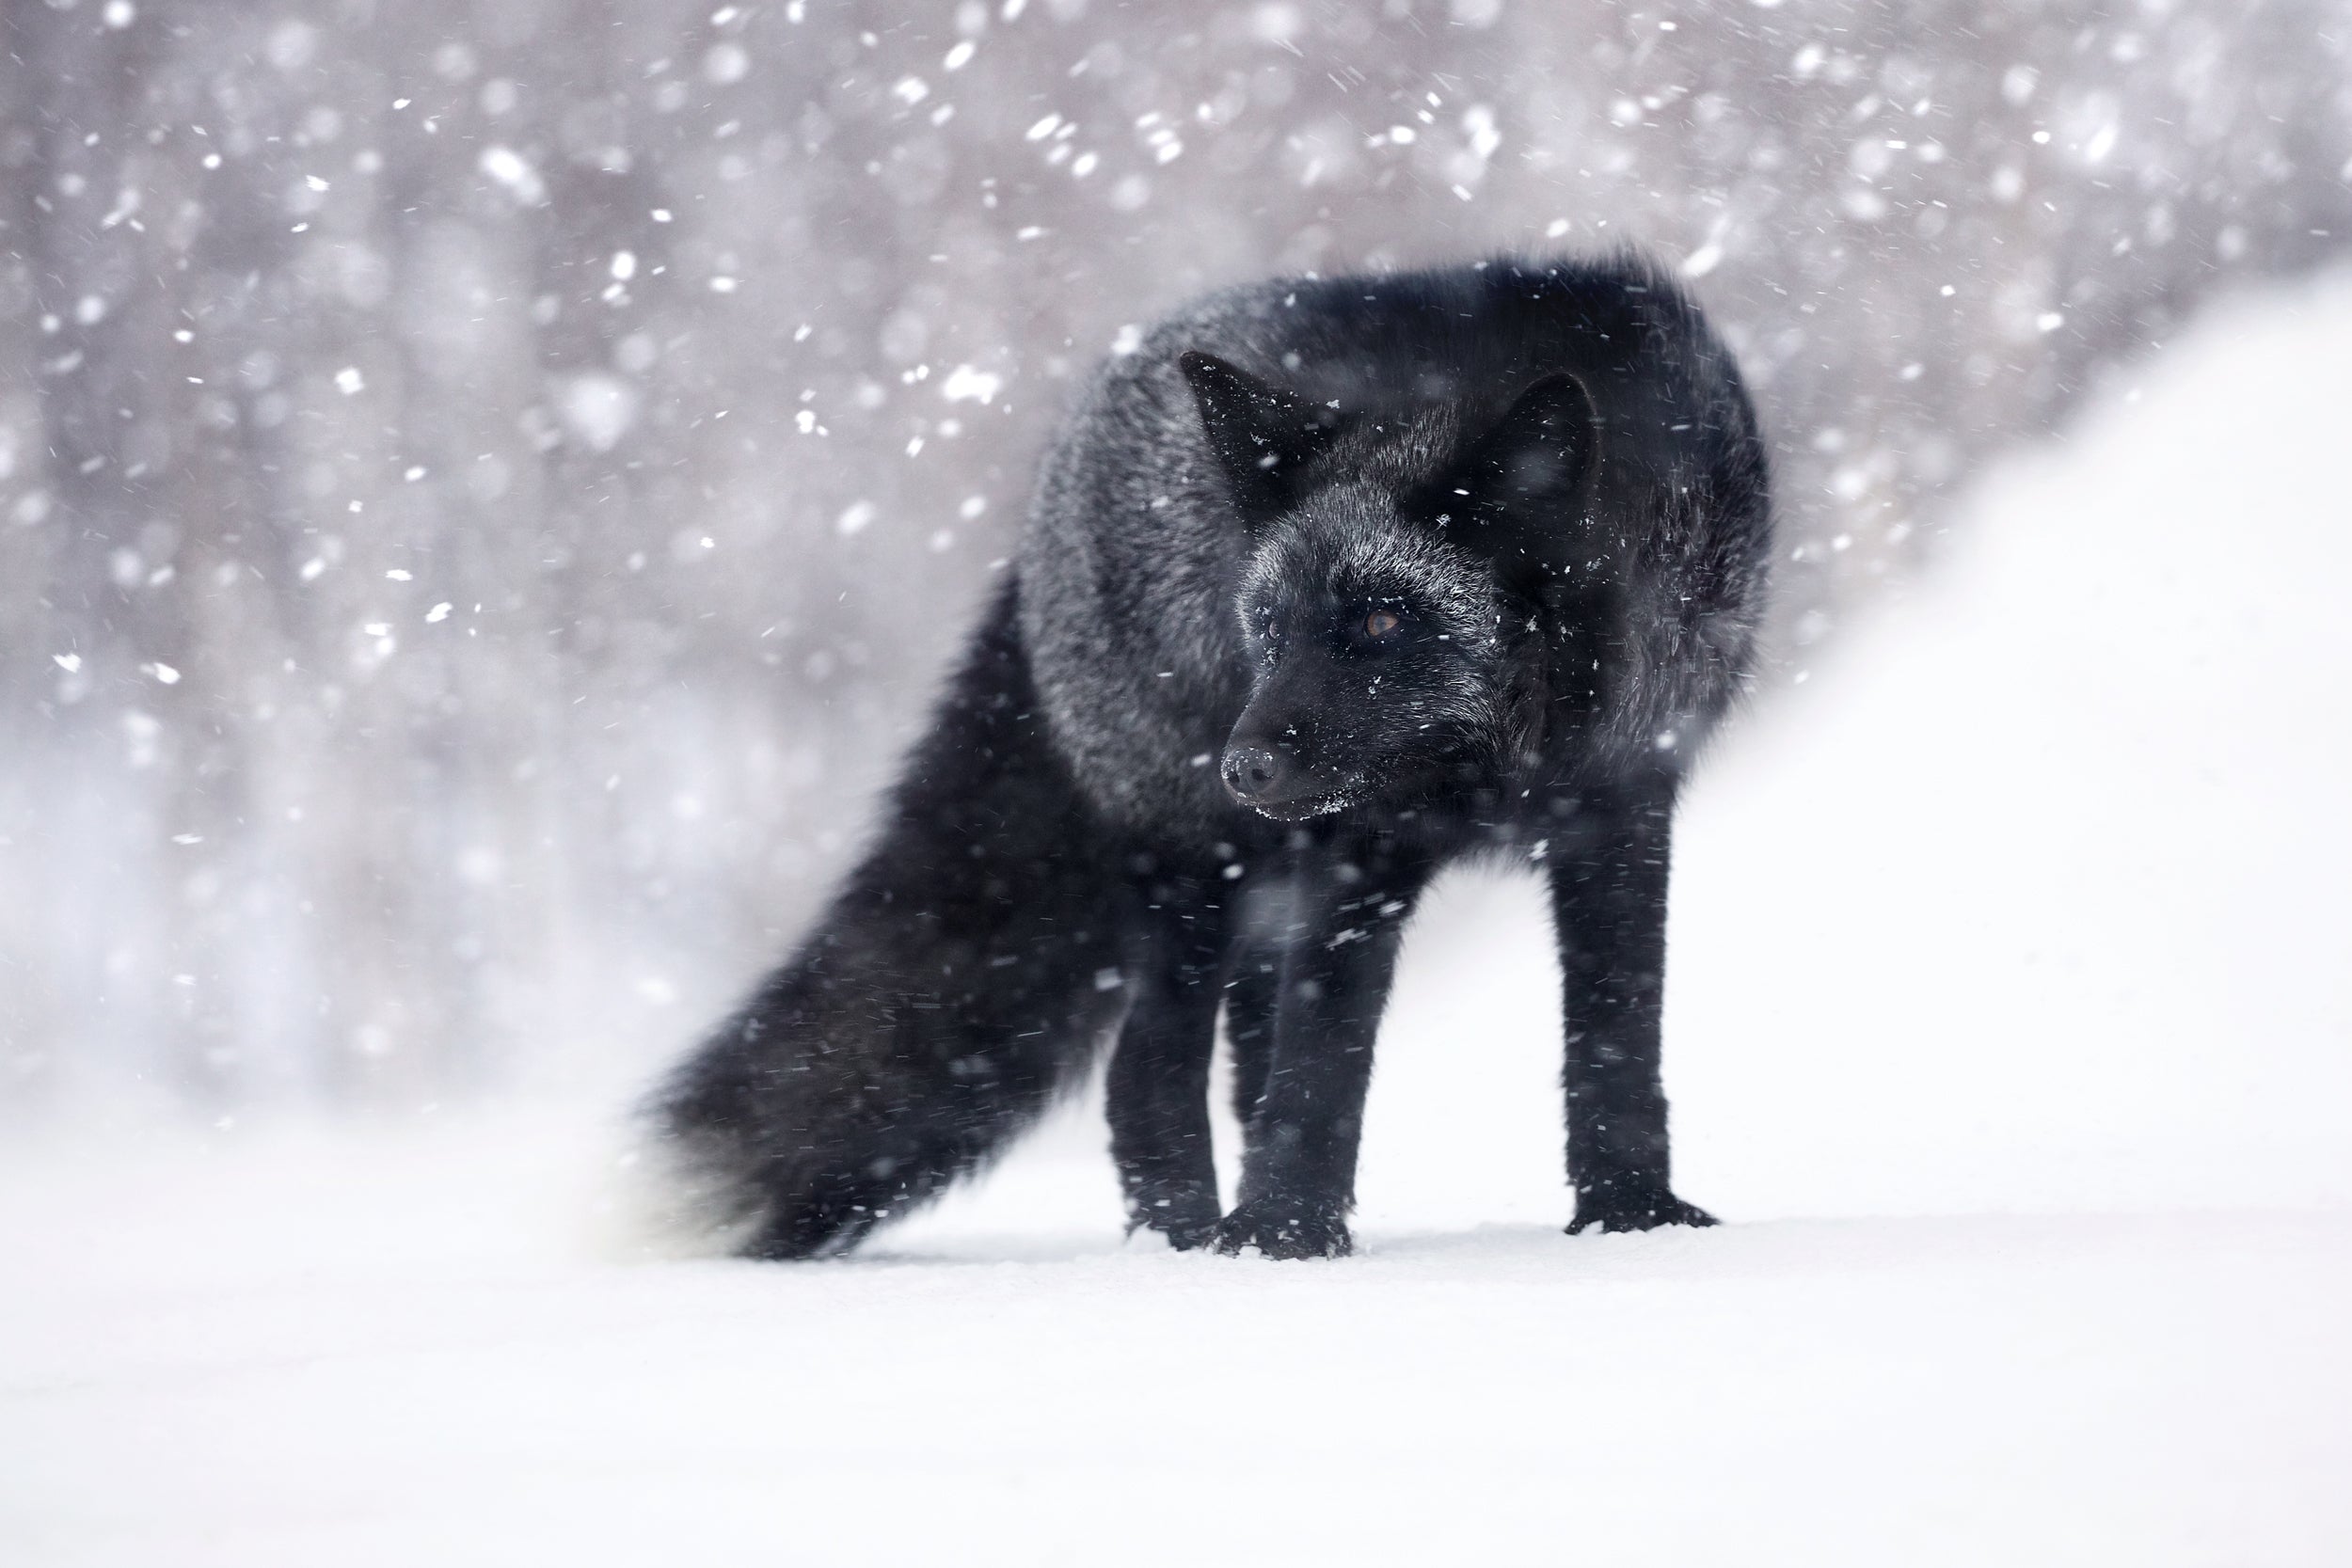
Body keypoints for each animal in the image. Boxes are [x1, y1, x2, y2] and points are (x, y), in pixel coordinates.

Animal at [652, 253, 1773, 1260]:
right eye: (1267, 623)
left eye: (1380, 621)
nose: (1245, 769)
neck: (1491, 763)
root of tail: (1037, 524)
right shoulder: (1353, 851)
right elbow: (1319, 1066)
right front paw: (1282, 1238)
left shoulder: (1621, 809)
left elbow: (1615, 1038)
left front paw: (1630, 1218)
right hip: (1198, 880)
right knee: (1146, 1079)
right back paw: (1184, 1246)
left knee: (1231, 1066)